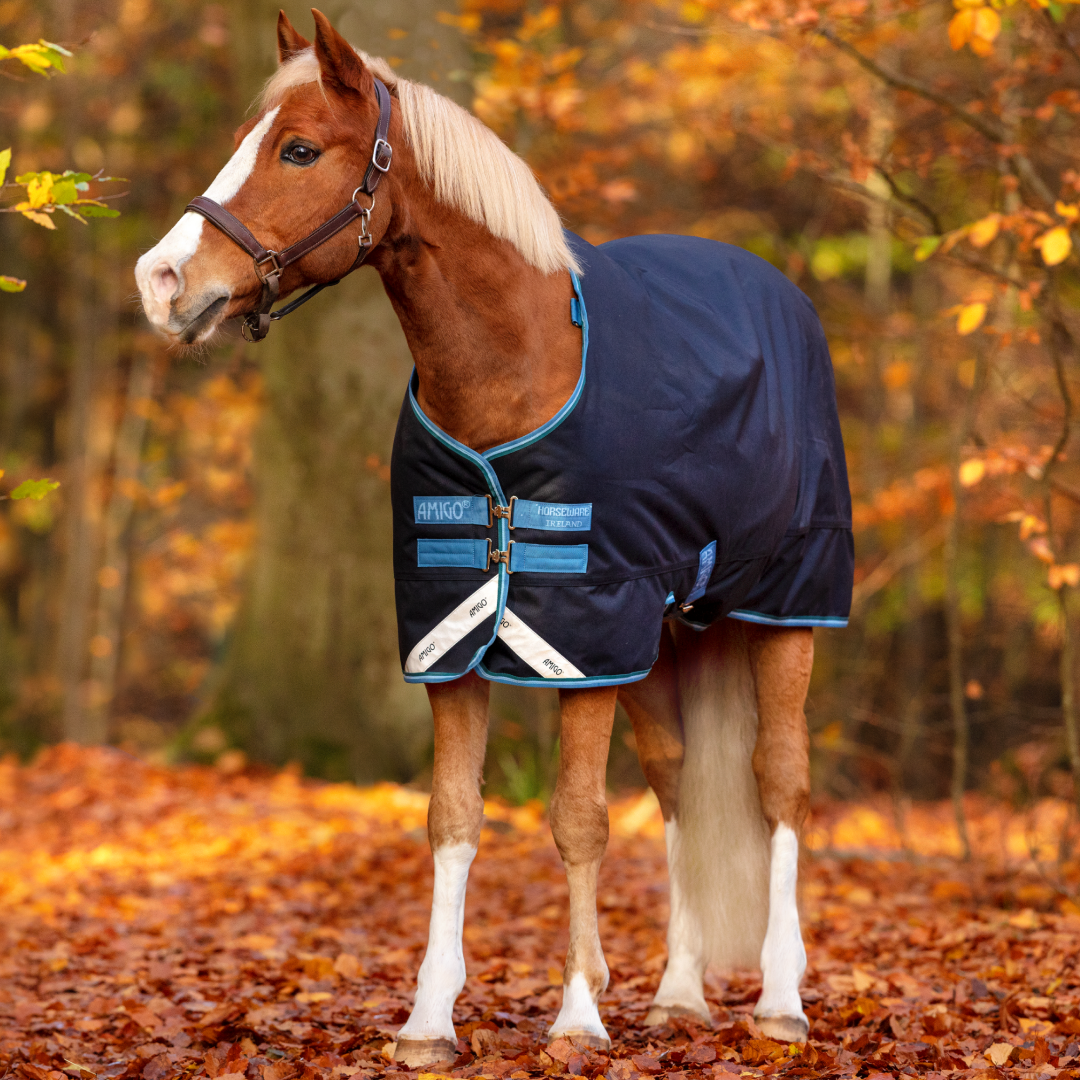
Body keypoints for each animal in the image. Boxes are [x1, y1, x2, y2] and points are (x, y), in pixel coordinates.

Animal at [135, 9, 853, 1067]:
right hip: (663, 632)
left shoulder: (583, 641)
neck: (515, 369)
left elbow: (580, 820)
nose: (161, 280)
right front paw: (430, 1020)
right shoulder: (454, 636)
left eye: (298, 149)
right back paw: (679, 994)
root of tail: (780, 296)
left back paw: (779, 1002)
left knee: (781, 785)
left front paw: (579, 1015)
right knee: (680, 784)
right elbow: (454, 818)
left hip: (786, 610)